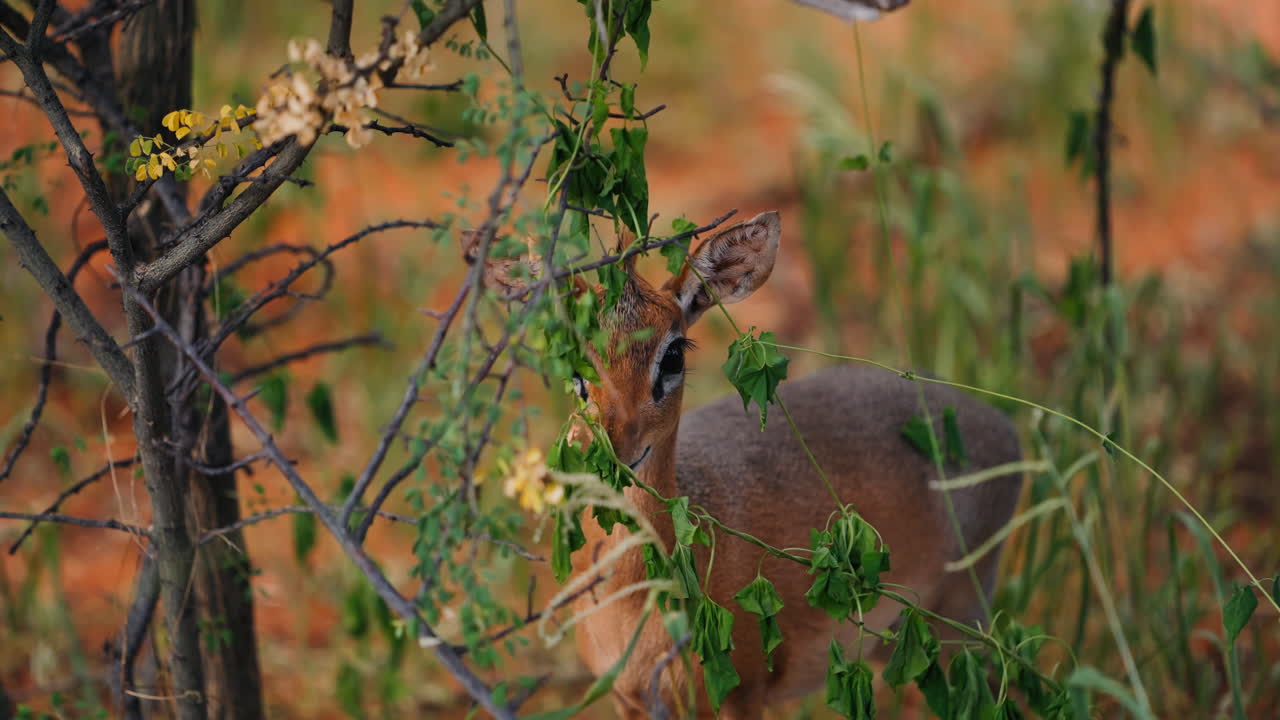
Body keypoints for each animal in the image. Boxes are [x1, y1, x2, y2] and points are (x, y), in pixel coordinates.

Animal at [475, 210, 1022, 718]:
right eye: (571, 358)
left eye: (673, 354)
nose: (620, 447)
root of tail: (1003, 424)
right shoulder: (628, 699)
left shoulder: (740, 695)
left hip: (961, 622)